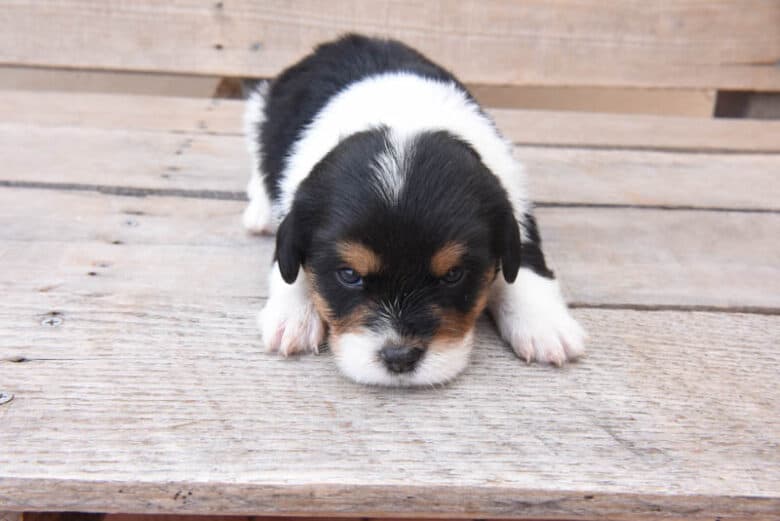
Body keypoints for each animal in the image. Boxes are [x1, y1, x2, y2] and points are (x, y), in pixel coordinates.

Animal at [244, 35, 584, 386]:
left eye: (453, 275)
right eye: (349, 275)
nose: (399, 358)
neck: (405, 117)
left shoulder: (514, 198)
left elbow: (525, 260)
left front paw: (544, 325)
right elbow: (289, 266)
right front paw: (292, 316)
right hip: (260, 112)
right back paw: (259, 213)